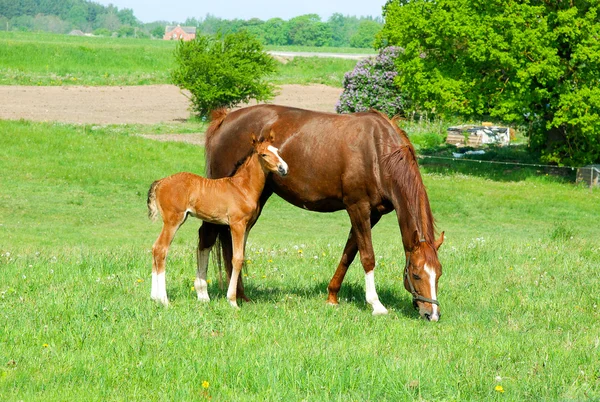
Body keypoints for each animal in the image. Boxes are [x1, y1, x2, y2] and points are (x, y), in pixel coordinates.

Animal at [145, 133, 286, 308]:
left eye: (277, 151)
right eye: (264, 154)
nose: (283, 168)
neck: (242, 187)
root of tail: (160, 182)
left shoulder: (246, 227)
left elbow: (240, 257)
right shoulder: (236, 224)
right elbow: (236, 258)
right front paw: (232, 301)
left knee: (155, 248)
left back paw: (154, 297)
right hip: (173, 220)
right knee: (161, 249)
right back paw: (164, 300)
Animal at [199, 105, 442, 322]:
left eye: (439, 273)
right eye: (416, 274)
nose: (432, 314)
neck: (377, 152)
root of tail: (225, 119)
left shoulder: (372, 214)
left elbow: (349, 253)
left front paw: (332, 296)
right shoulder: (358, 207)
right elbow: (367, 257)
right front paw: (376, 304)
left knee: (231, 246)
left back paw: (239, 295)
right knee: (208, 237)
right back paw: (206, 294)